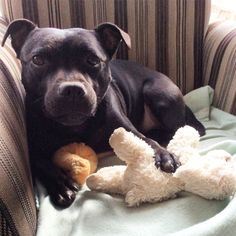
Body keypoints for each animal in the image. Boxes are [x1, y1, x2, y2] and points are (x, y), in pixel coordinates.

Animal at [2, 19, 205, 207]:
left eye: (93, 60)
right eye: (38, 60)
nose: (72, 89)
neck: (75, 126)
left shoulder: (127, 128)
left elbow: (146, 141)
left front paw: (164, 155)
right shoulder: (33, 148)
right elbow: (41, 163)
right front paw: (61, 185)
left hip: (157, 91)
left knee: (178, 128)